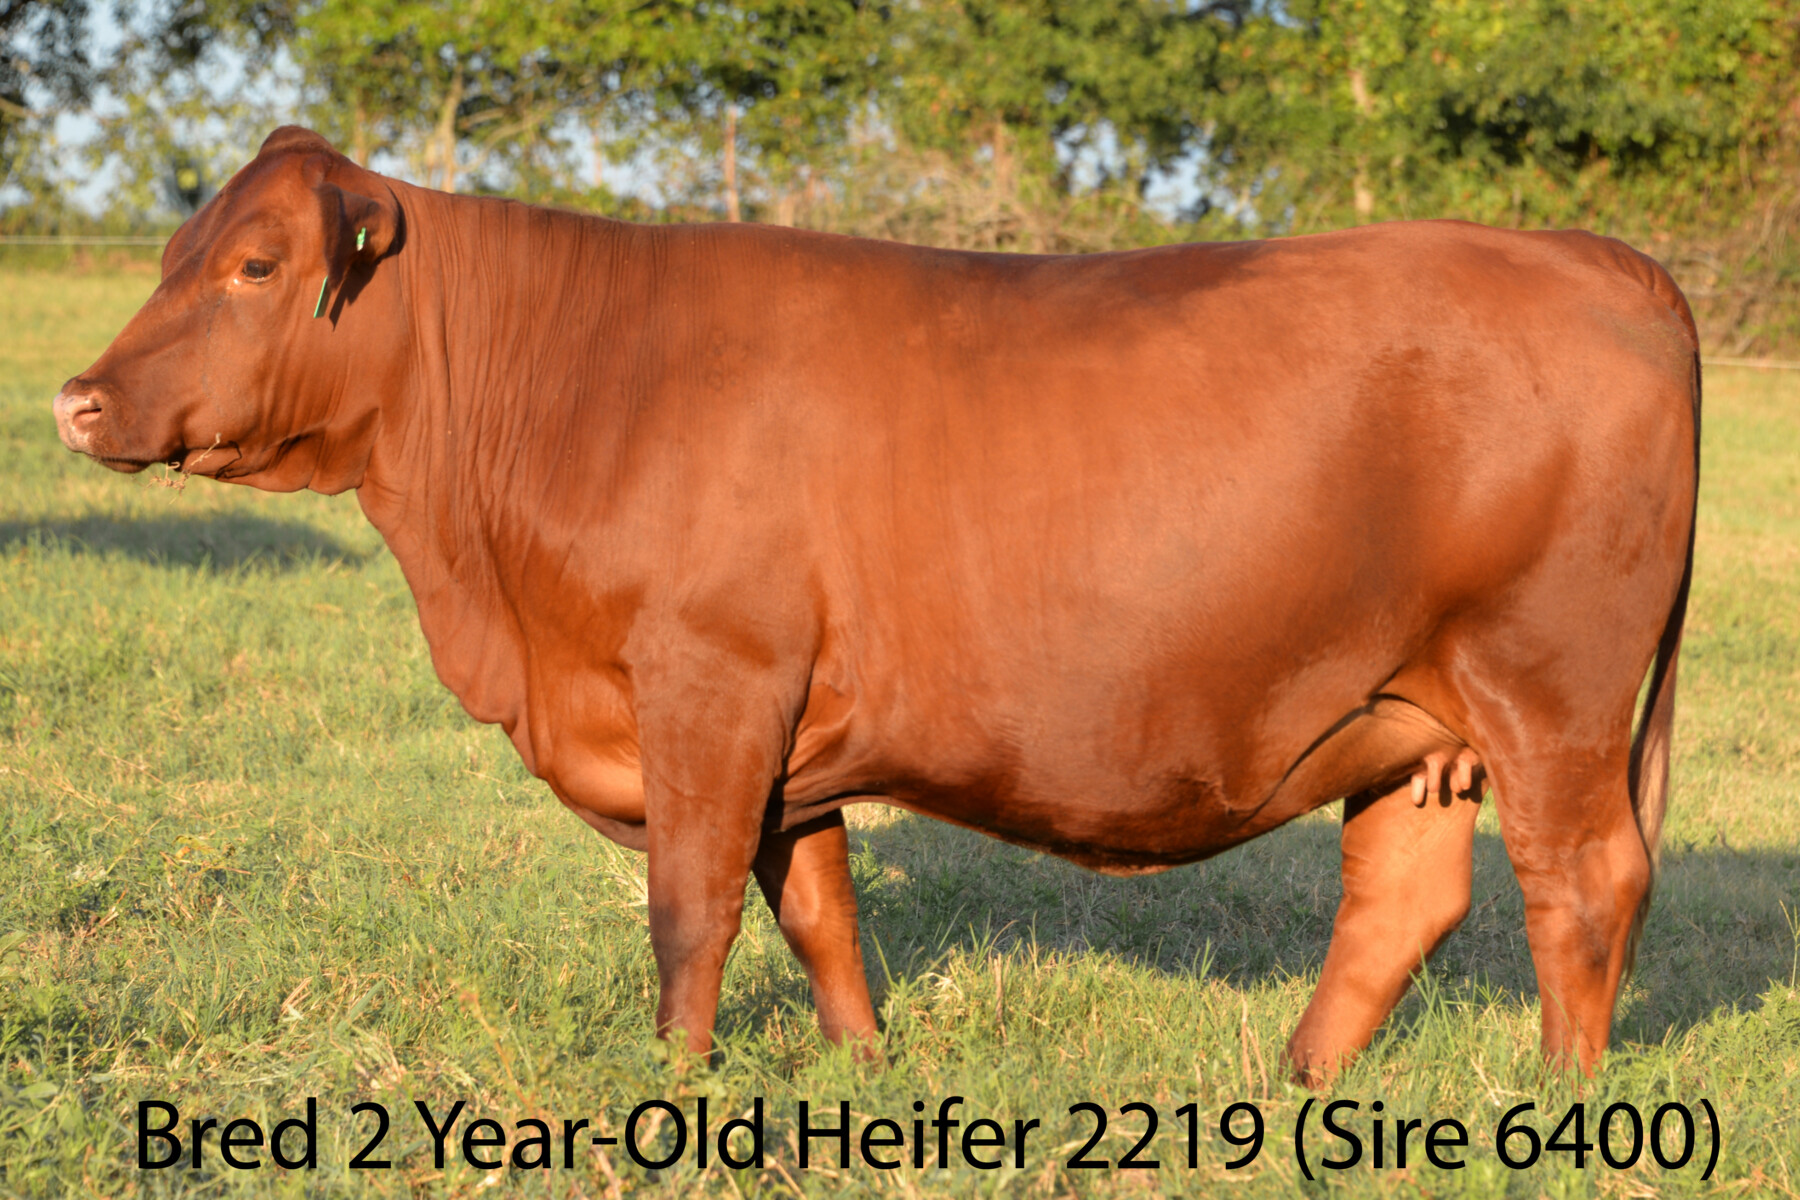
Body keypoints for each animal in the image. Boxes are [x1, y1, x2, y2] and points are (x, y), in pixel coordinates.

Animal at [53, 127, 1698, 1083]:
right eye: (174, 254)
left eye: (257, 265)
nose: (76, 399)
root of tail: (1588, 256)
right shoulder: (789, 727)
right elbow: (818, 907)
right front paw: (858, 1070)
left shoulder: (710, 681)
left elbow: (693, 907)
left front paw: (677, 1088)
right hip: (1410, 712)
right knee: (1405, 898)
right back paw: (1294, 1088)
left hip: (1548, 690)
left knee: (1585, 883)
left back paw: (1559, 1099)